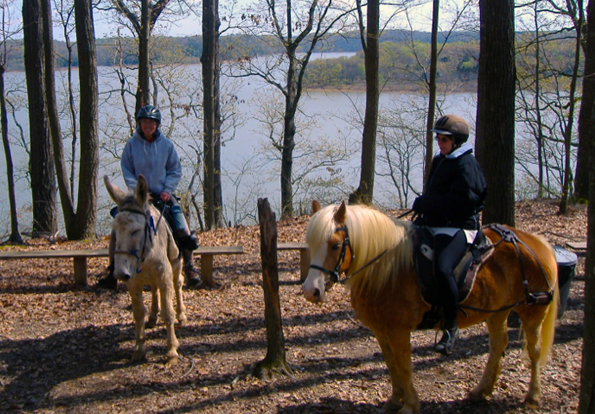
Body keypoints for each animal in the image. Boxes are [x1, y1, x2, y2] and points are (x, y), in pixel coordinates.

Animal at [103, 175, 185, 366]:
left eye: (135, 231)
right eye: (115, 231)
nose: (120, 273)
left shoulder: (164, 277)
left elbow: (168, 313)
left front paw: (171, 351)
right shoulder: (133, 283)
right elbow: (138, 313)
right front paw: (139, 349)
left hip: (176, 265)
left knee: (178, 285)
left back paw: (182, 315)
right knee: (154, 291)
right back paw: (153, 317)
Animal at [302, 200, 560, 410]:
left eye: (336, 246)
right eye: (311, 244)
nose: (310, 291)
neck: (386, 269)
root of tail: (536, 242)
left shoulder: (398, 331)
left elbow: (404, 366)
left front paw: (409, 405)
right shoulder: (381, 331)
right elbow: (391, 364)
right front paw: (395, 400)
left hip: (532, 311)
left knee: (534, 351)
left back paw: (532, 396)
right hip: (499, 311)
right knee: (498, 345)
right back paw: (481, 391)